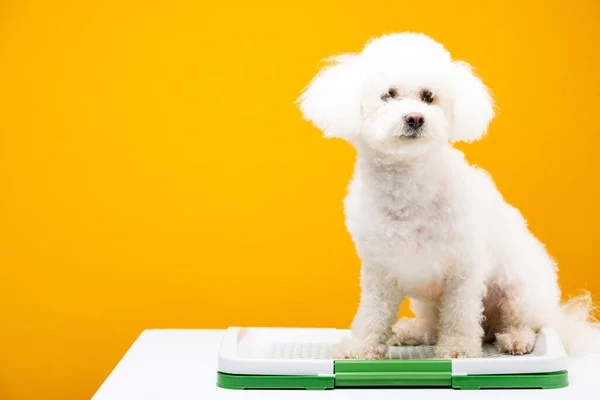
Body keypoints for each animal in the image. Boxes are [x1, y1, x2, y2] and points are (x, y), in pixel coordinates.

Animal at [298, 32, 596, 358]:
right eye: (388, 95)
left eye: (428, 96)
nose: (415, 118)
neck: (408, 185)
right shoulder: (380, 269)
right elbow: (372, 314)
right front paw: (361, 347)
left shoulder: (463, 267)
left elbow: (460, 315)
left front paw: (458, 348)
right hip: (428, 298)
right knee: (432, 323)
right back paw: (413, 332)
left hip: (518, 288)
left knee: (524, 322)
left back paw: (516, 338)